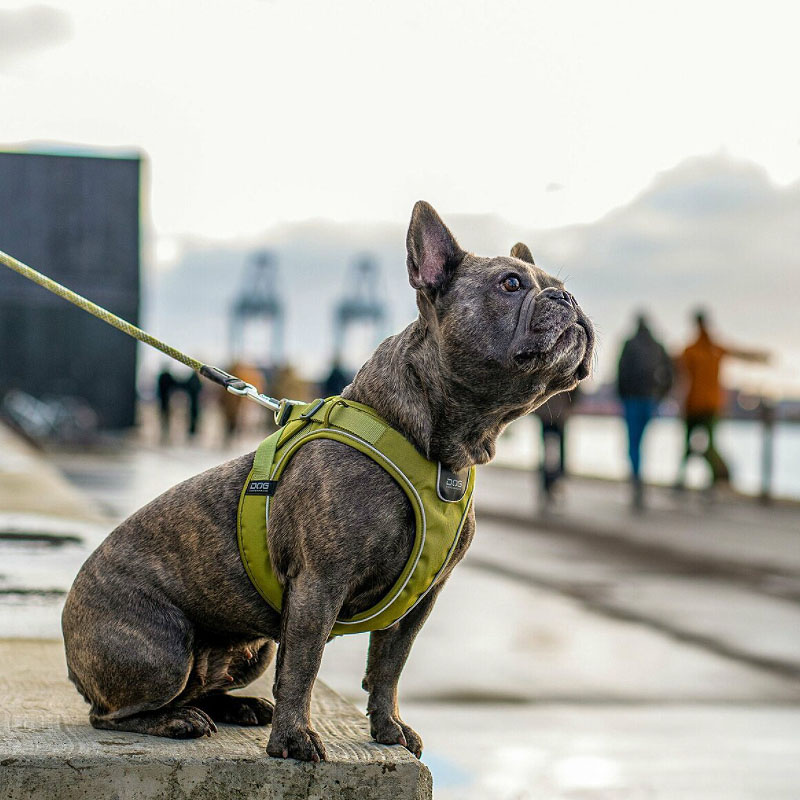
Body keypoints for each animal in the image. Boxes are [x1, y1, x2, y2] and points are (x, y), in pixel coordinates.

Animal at [62, 200, 592, 764]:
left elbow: (389, 666)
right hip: (162, 650)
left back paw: (237, 707)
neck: (439, 451)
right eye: (511, 284)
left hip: (251, 649)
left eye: (558, 285)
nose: (568, 297)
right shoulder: (319, 585)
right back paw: (177, 720)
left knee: (203, 686)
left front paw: (389, 728)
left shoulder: (420, 600)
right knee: (116, 711)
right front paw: (294, 740)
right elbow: (304, 668)